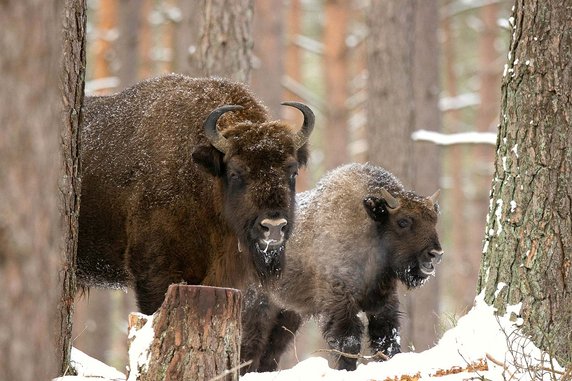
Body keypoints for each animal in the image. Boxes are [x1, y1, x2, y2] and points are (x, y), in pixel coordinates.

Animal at [241, 163, 442, 372]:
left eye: (434, 220)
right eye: (403, 221)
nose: (435, 253)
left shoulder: (383, 303)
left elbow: (387, 339)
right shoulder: (339, 303)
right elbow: (348, 342)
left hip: (288, 314)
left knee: (270, 353)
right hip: (257, 307)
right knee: (250, 347)